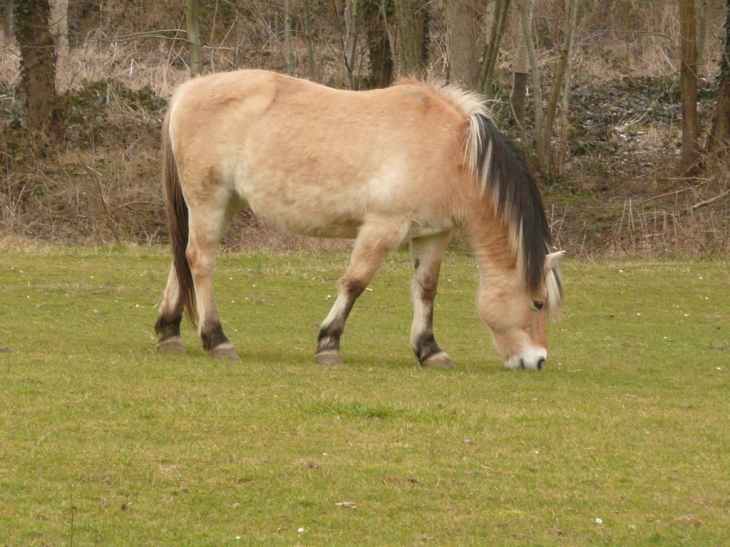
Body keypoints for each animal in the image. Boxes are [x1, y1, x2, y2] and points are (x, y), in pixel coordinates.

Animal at [152, 68, 564, 370]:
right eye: (538, 303)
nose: (538, 361)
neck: (451, 151)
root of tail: (187, 90)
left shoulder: (433, 234)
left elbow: (426, 288)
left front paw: (430, 350)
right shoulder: (383, 227)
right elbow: (355, 283)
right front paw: (329, 344)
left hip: (222, 205)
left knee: (183, 259)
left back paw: (169, 334)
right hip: (209, 199)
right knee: (200, 261)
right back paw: (217, 339)